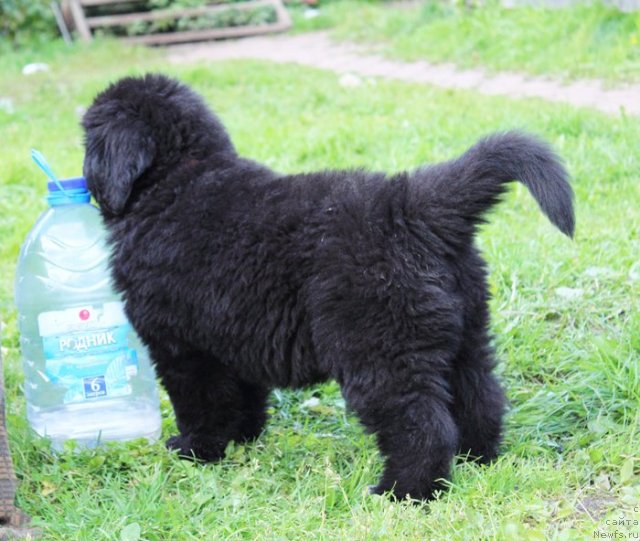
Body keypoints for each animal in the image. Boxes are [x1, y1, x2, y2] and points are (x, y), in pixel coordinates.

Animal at [81, 74, 576, 500]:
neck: (177, 181)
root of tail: (411, 207)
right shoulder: (231, 336)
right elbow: (242, 397)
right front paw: (243, 440)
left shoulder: (182, 346)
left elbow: (201, 403)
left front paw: (196, 450)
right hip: (467, 332)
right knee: (481, 398)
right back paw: (478, 460)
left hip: (379, 348)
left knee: (422, 426)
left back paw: (404, 492)